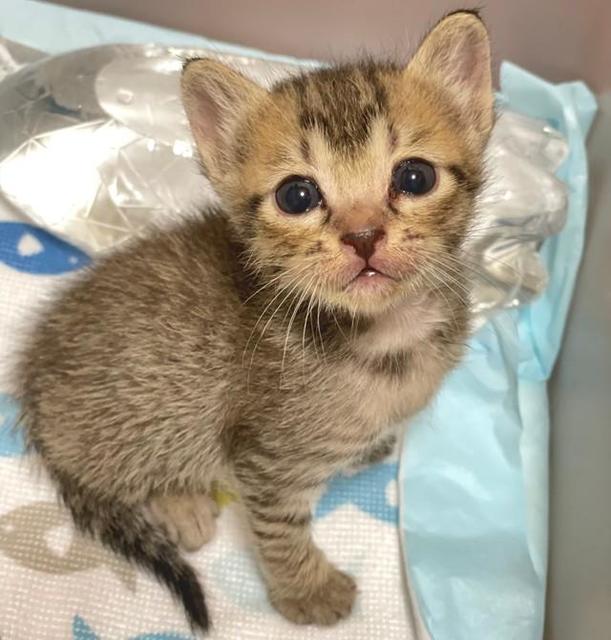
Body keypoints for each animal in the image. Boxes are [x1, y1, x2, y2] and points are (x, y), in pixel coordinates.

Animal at [16, 10, 494, 636]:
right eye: (298, 195)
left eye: (414, 177)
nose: (363, 235)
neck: (385, 338)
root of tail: (32, 378)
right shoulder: (267, 458)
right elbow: (280, 532)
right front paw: (306, 592)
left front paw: (369, 448)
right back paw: (182, 504)